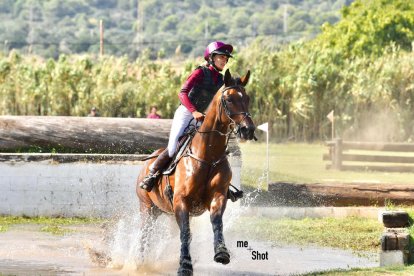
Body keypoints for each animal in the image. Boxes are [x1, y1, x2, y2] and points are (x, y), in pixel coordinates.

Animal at [136, 69, 256, 276]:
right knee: (145, 234)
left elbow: (216, 223)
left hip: (164, 211)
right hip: (147, 208)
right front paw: (185, 266)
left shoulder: (217, 196)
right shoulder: (181, 200)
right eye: (229, 99)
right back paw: (141, 263)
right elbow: (186, 233)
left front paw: (221, 252)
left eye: (247, 98)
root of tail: (146, 163)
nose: (248, 130)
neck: (207, 155)